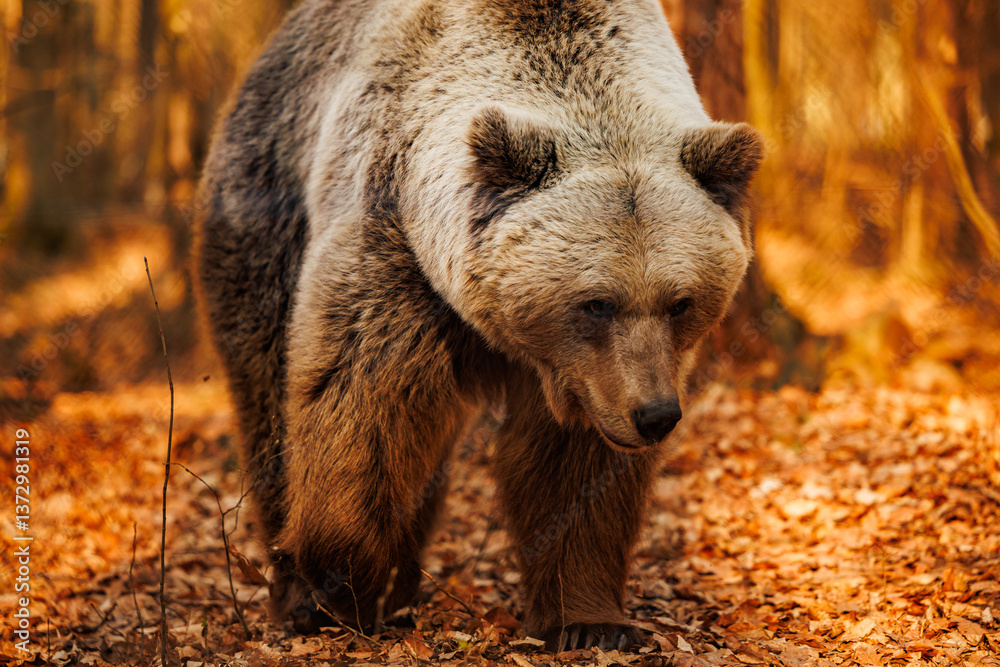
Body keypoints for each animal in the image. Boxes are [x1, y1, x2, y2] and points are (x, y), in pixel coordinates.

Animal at [196, 0, 763, 652]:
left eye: (680, 302)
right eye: (597, 302)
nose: (655, 415)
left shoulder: (589, 377)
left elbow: (572, 465)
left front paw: (589, 620)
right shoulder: (394, 240)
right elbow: (364, 402)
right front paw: (338, 580)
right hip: (262, 213)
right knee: (269, 399)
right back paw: (301, 589)